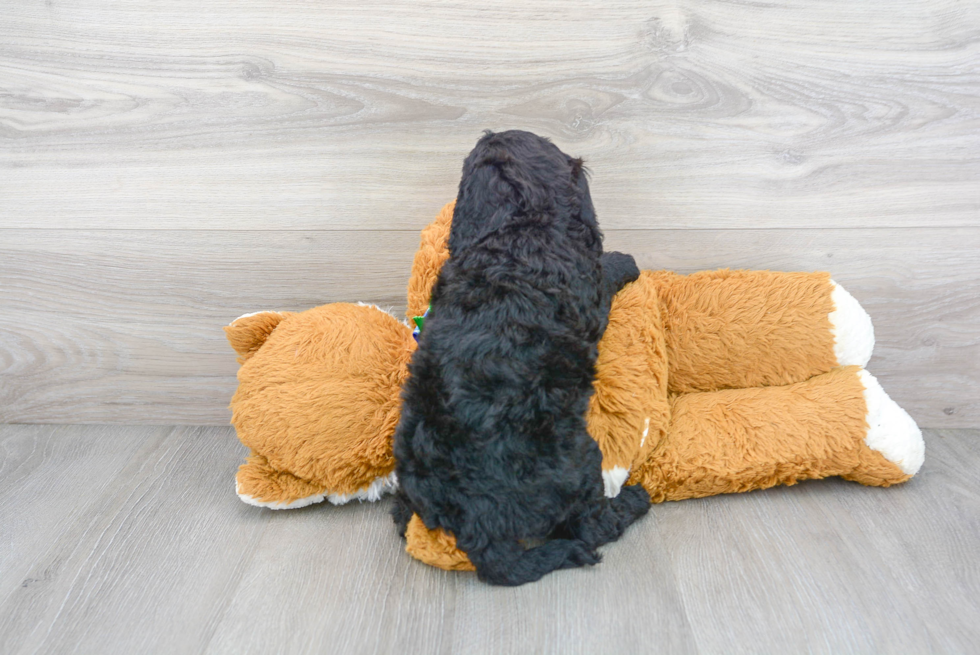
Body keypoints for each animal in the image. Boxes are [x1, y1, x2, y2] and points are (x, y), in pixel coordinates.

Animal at [390, 131, 652, 588]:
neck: (516, 230)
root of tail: (476, 528)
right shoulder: (593, 294)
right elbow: (606, 272)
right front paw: (625, 260)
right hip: (578, 460)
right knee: (591, 526)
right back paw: (634, 500)